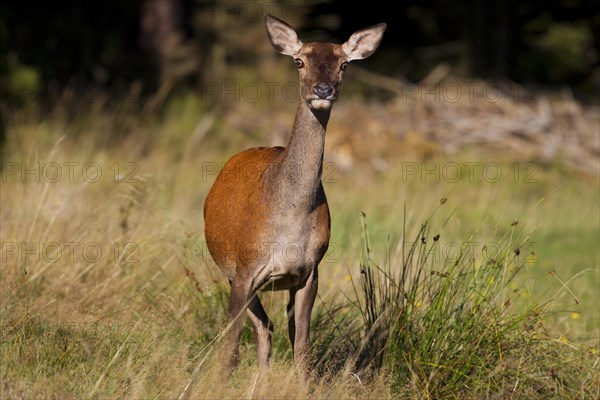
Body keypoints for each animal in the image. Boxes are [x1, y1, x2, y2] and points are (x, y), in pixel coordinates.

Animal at [204, 13, 386, 376]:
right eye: (299, 61)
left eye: (344, 64)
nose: (323, 89)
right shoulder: (245, 268)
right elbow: (230, 348)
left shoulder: (309, 270)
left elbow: (302, 346)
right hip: (231, 272)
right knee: (261, 326)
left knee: (270, 327)